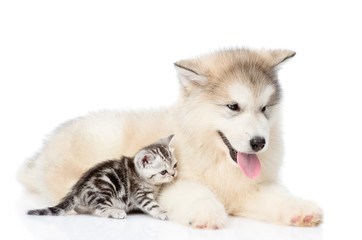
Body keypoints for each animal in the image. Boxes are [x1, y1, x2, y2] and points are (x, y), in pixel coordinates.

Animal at [27, 134, 177, 220]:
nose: (173, 174)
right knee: (99, 209)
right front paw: (164, 212)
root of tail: (76, 190)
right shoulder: (139, 194)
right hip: (105, 187)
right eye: (163, 172)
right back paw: (115, 212)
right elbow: (152, 205)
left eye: (175, 165)